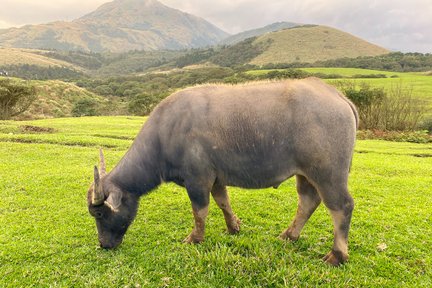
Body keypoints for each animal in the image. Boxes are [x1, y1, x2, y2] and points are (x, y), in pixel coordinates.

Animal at [87, 77, 358, 266]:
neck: (165, 134)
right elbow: (223, 202)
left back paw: (337, 255)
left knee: (341, 207)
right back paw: (289, 235)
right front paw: (233, 227)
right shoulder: (216, 178)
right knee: (308, 201)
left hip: (328, 174)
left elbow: (200, 210)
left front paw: (195, 238)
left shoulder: (197, 180)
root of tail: (336, 94)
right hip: (306, 174)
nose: (103, 244)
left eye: (99, 214)